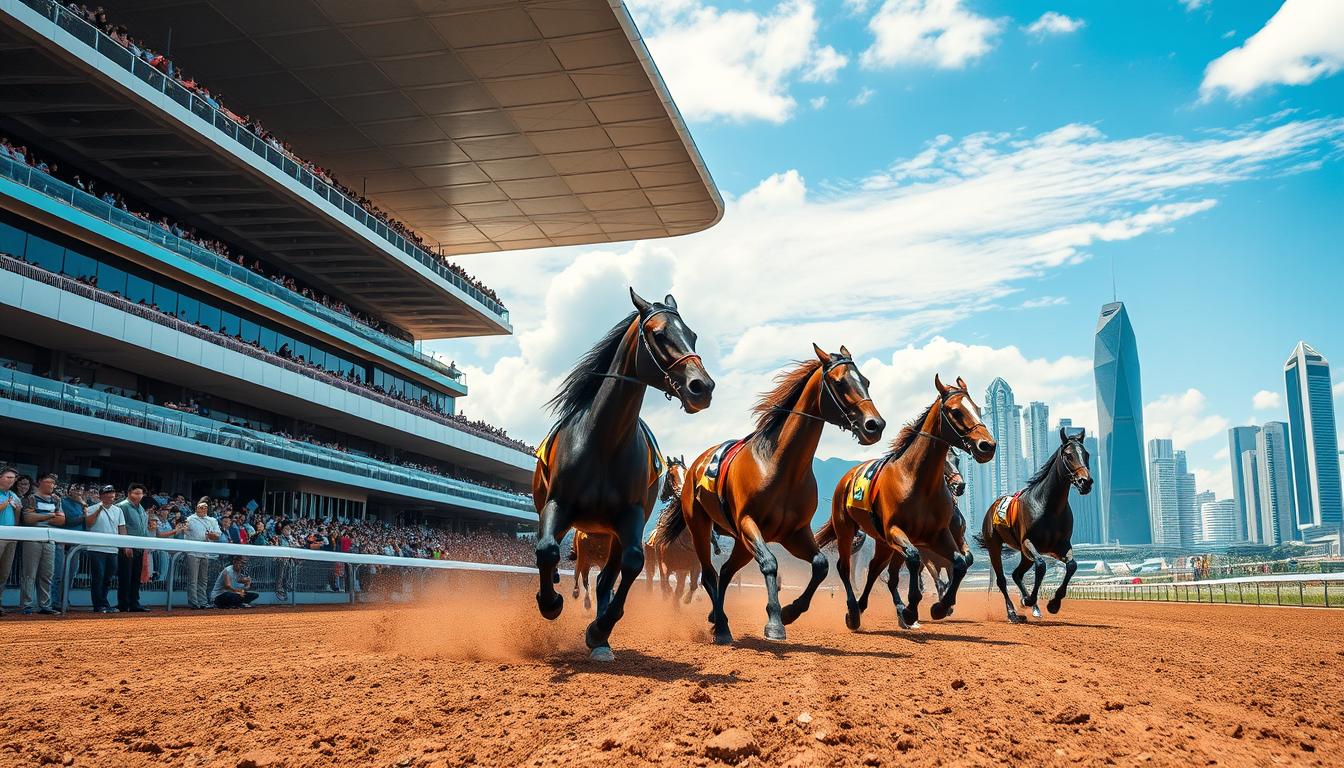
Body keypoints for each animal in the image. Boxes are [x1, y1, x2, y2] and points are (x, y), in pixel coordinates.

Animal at [529, 287, 715, 661]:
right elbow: (547, 550)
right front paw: (550, 602)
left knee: (608, 576)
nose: (701, 387)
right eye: (659, 334)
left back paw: (600, 637)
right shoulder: (557, 504)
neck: (603, 441)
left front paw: (599, 630)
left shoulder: (630, 516)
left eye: (692, 335)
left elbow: (631, 564)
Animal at [663, 344, 892, 645]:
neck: (779, 466)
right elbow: (770, 563)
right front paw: (774, 621)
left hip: (740, 543)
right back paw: (722, 626)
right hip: (702, 527)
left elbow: (820, 565)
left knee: (725, 572)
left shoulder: (794, 532)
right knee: (710, 574)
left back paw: (716, 617)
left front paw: (790, 611)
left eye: (865, 381)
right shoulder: (749, 524)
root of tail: (695, 467)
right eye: (840, 382)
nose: (874, 425)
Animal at [817, 376, 999, 634]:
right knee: (846, 567)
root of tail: (848, 476)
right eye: (955, 411)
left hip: (884, 543)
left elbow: (961, 562)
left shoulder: (938, 535)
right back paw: (854, 612)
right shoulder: (898, 532)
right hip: (847, 529)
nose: (987, 446)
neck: (917, 481)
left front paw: (940, 607)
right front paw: (913, 608)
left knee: (877, 570)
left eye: (977, 409)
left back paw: (867, 608)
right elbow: (914, 560)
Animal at [978, 430, 1091, 621]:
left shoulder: (1060, 545)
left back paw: (1032, 606)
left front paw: (1053, 604)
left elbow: (1072, 565)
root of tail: (992, 506)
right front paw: (1029, 600)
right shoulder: (1027, 542)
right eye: (1069, 455)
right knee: (1002, 579)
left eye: (1087, 454)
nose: (1086, 482)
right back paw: (1013, 612)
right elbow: (1041, 566)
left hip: (1024, 556)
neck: (1049, 506)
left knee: (1017, 574)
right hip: (994, 546)